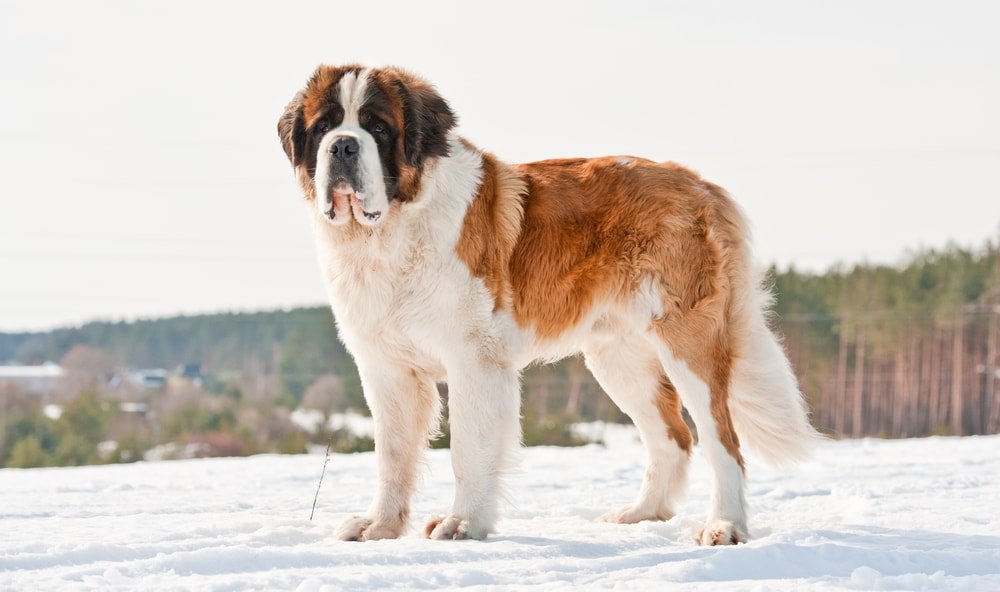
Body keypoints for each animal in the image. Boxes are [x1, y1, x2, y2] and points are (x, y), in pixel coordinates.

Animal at [276, 65, 820, 544]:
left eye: (378, 128)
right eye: (323, 127)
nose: (343, 145)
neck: (389, 231)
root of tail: (701, 184)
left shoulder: (474, 360)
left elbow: (467, 448)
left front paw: (463, 523)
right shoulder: (386, 368)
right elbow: (392, 456)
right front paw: (379, 527)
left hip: (687, 344)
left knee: (721, 441)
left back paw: (724, 527)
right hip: (618, 360)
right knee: (673, 437)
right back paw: (642, 514)